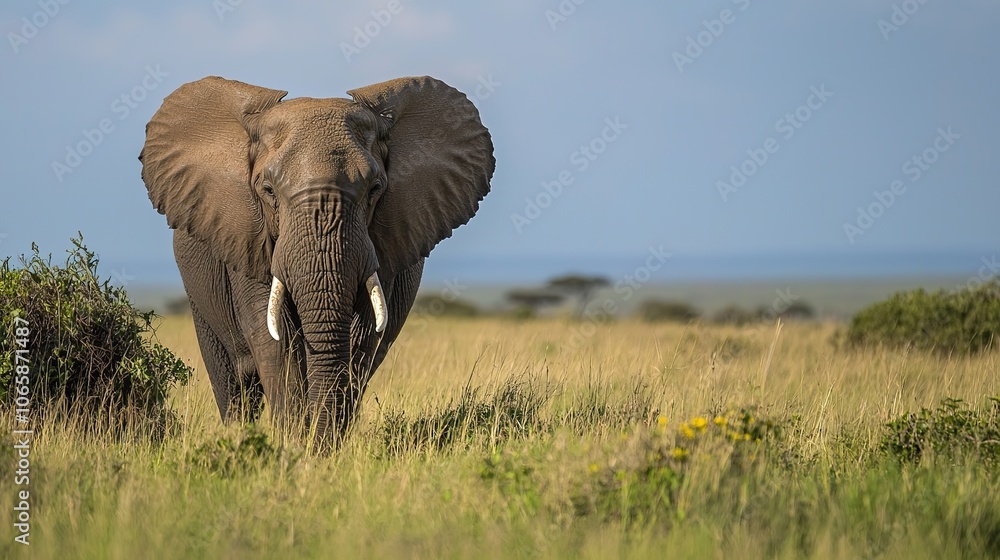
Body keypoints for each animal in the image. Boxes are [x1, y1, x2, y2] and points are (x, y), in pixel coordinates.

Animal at [139, 75, 495, 446]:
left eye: (375, 188)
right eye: (268, 190)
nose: (317, 442)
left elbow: (360, 337)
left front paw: (321, 447)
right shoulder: (248, 238)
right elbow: (276, 340)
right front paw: (296, 446)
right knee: (233, 385)